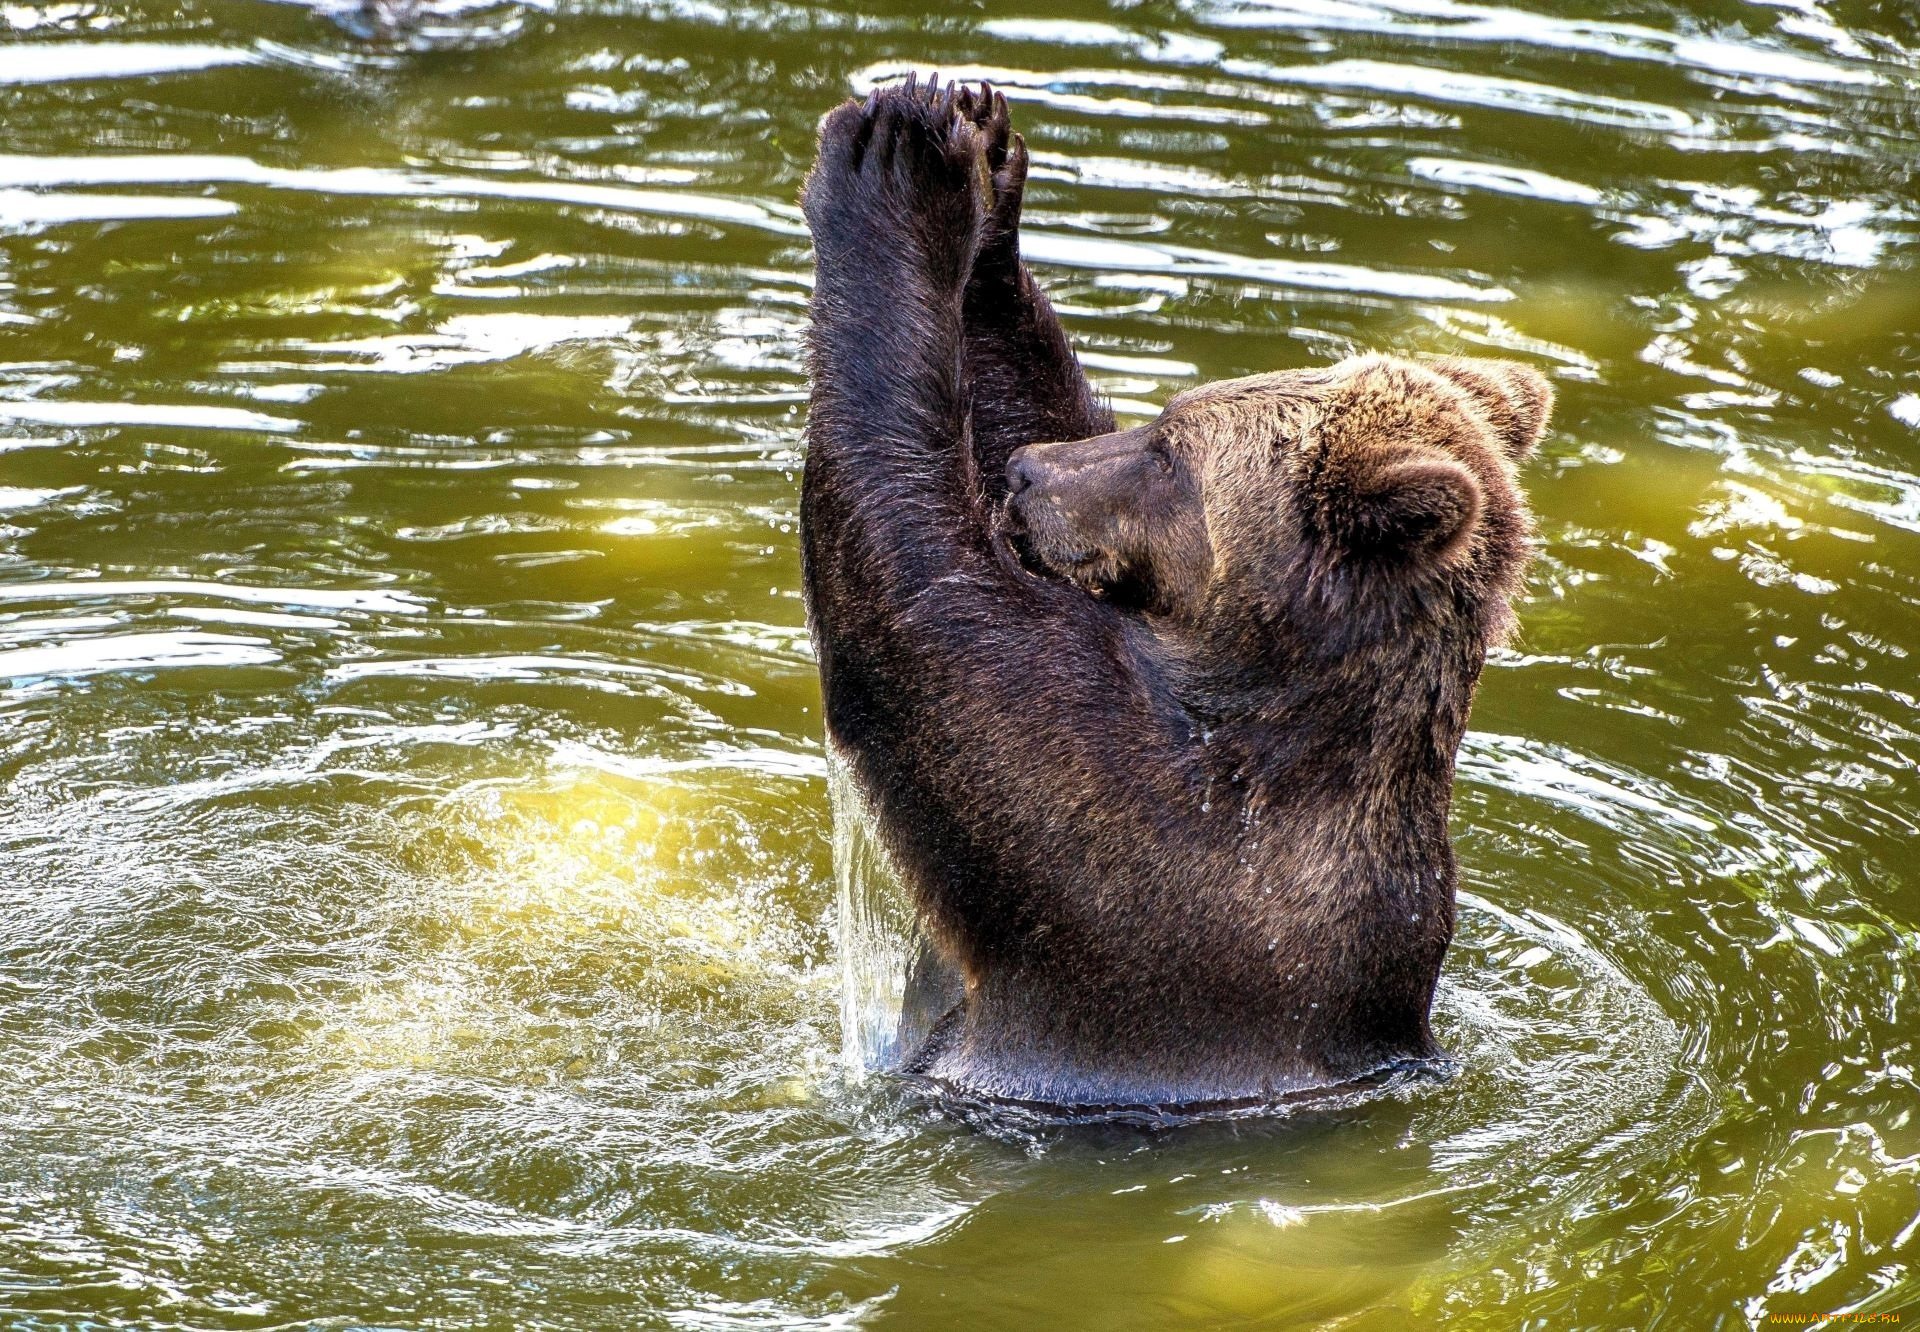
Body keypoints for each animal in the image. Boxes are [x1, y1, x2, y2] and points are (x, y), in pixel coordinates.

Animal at [802, 78, 1551, 1113]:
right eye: (1159, 418)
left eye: (1170, 454)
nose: (1029, 475)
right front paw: (985, 164)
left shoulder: (1128, 842)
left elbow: (920, 603)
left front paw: (899, 166)